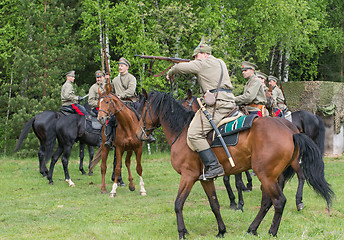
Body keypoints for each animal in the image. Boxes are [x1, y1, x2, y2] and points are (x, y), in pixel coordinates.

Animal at [135, 90, 334, 238]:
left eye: (142, 108)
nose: (139, 134)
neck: (182, 131)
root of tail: (291, 131)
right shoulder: (205, 179)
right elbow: (214, 204)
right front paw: (221, 230)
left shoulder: (188, 176)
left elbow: (178, 203)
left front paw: (182, 232)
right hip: (272, 176)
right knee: (267, 202)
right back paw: (252, 229)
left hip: (267, 175)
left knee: (279, 201)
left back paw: (272, 230)